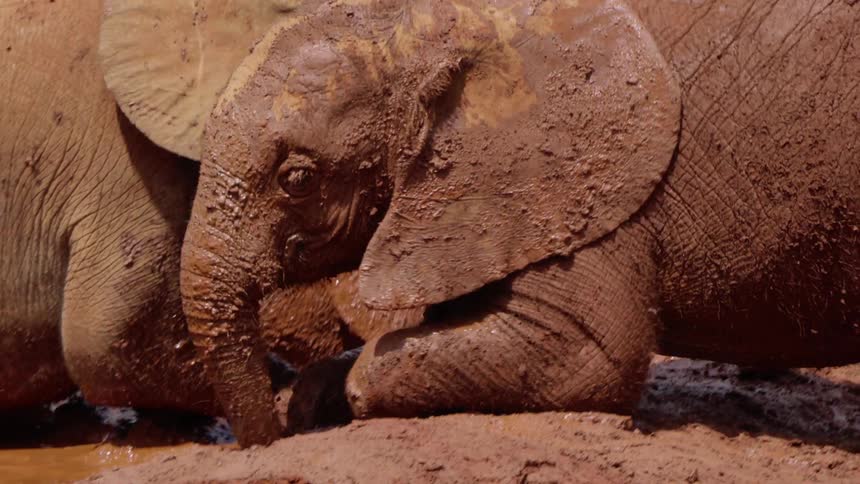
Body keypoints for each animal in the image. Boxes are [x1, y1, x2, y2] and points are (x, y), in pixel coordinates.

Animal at [103, 0, 860, 446]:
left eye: (298, 179)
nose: (266, 439)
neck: (427, 27)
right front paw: (307, 402)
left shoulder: (574, 186)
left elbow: (585, 355)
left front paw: (326, 398)